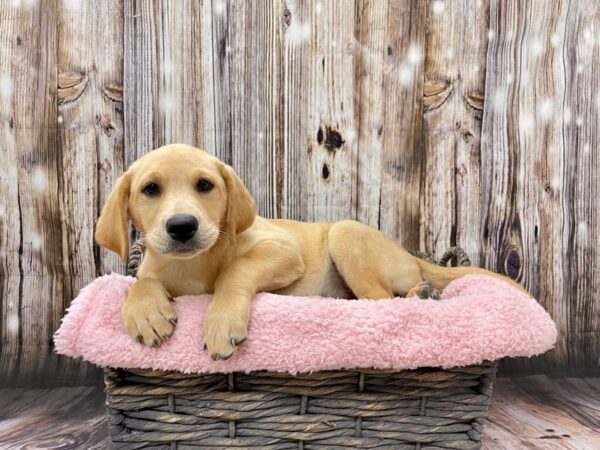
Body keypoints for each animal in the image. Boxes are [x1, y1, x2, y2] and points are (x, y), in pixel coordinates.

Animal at [96, 142, 528, 360]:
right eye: (150, 189)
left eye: (205, 185)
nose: (182, 226)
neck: (193, 266)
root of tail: (409, 253)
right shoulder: (155, 270)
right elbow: (141, 282)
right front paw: (146, 312)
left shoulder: (282, 249)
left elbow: (235, 271)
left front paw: (220, 322)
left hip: (345, 235)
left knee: (384, 301)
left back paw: (419, 297)